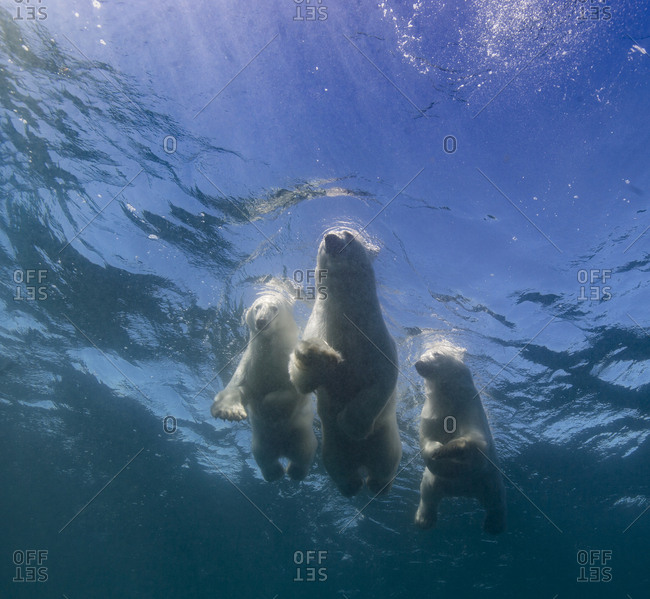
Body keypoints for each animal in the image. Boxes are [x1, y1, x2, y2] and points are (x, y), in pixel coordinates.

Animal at [210, 293, 317, 482]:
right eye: (257, 307)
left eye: (274, 308)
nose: (261, 321)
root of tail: (282, 449)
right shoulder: (251, 364)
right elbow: (238, 388)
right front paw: (230, 411)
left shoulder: (288, 365)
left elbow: (290, 393)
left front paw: (267, 404)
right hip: (260, 443)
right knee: (265, 458)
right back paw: (275, 472)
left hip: (301, 437)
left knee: (303, 455)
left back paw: (293, 471)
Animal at [289, 228, 402, 497]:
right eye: (323, 236)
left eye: (348, 234)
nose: (330, 238)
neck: (347, 320)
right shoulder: (318, 327)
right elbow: (302, 380)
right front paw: (320, 357)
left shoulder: (377, 340)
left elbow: (382, 380)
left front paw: (350, 424)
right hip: (331, 448)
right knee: (339, 468)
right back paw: (352, 484)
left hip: (386, 440)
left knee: (385, 464)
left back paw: (376, 484)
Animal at [414, 345, 506, 534]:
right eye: (422, 353)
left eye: (436, 354)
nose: (418, 363)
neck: (448, 398)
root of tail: (463, 491)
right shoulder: (430, 415)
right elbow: (427, 442)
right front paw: (437, 450)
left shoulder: (469, 407)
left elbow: (476, 441)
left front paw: (448, 449)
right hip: (434, 481)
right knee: (427, 493)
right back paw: (424, 519)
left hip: (490, 479)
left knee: (496, 500)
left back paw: (494, 524)